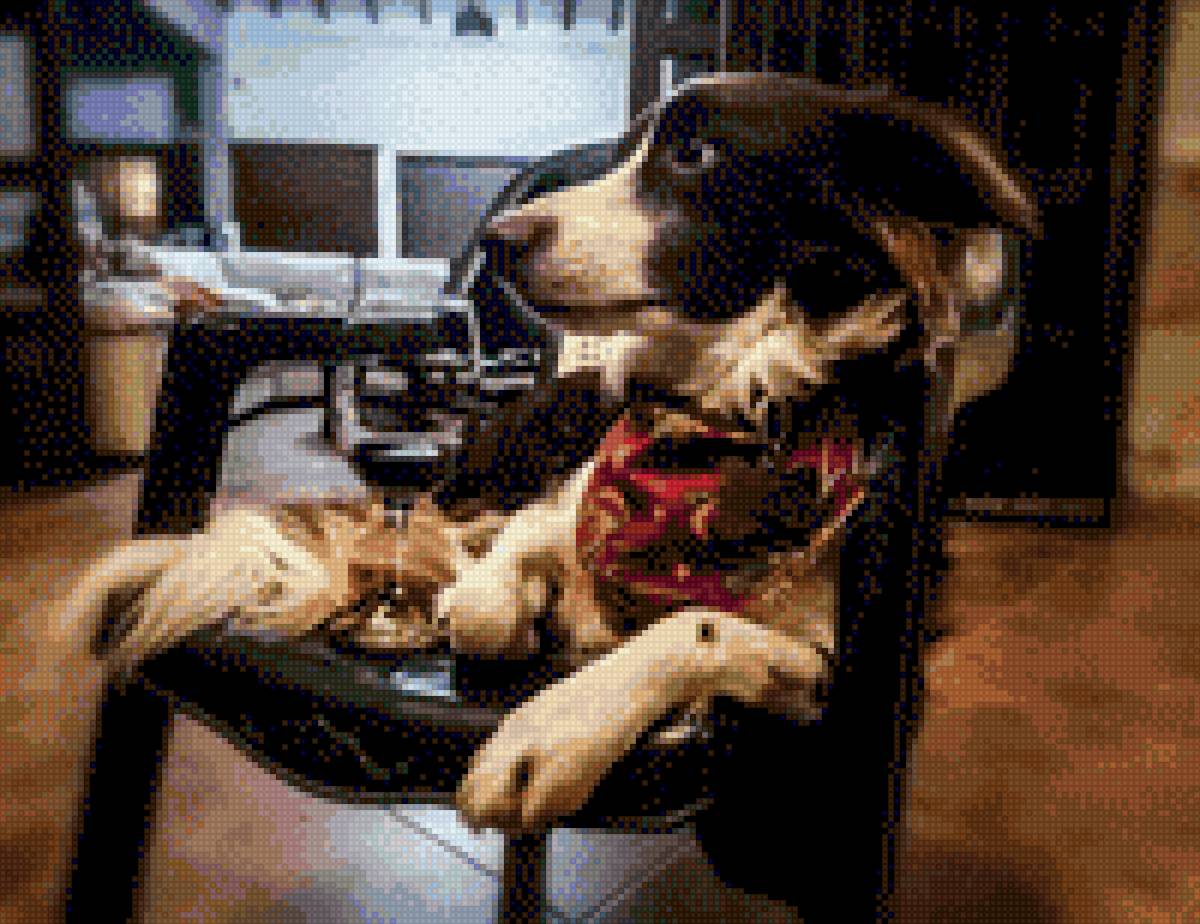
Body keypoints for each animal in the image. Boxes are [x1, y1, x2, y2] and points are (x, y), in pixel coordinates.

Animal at [60, 73, 1037, 834]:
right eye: (623, 151)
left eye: (696, 154)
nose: (498, 241)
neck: (719, 408)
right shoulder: (566, 499)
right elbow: (509, 574)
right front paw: (503, 605)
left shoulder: (831, 677)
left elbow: (699, 622)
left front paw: (550, 734)